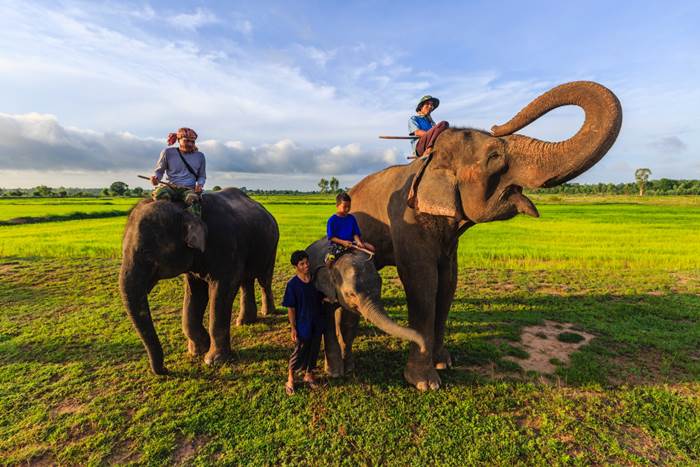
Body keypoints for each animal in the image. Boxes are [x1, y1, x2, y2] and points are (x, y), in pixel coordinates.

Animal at [119, 188, 278, 374]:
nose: (165, 370)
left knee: (264, 280)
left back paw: (267, 312)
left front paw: (214, 361)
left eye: (147, 254)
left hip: (272, 245)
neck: (183, 208)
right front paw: (197, 350)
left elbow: (222, 292)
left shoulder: (227, 247)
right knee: (247, 282)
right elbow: (195, 294)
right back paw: (244, 322)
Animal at [306, 239, 426, 378]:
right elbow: (327, 321)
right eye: (351, 294)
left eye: (380, 284)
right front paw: (334, 374)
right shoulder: (323, 289)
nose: (423, 348)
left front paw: (349, 369)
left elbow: (349, 324)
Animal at [348, 81, 620, 392]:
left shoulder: (448, 240)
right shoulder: (407, 220)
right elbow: (423, 284)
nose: (496, 125)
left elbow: (448, 283)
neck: (430, 162)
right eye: (494, 158)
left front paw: (444, 363)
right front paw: (425, 383)